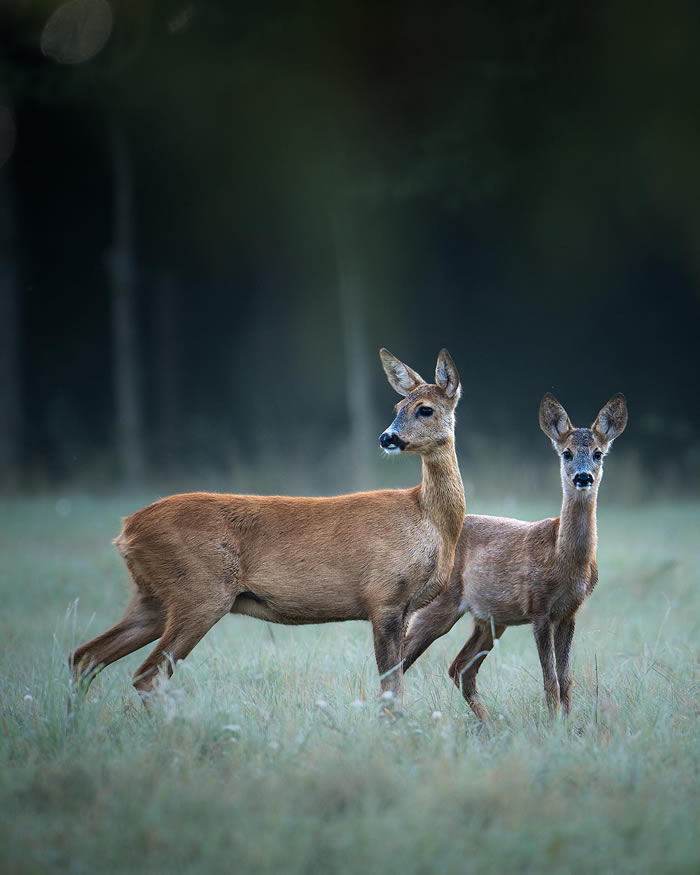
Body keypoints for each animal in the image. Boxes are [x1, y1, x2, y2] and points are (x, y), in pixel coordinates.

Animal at [69, 348, 464, 704]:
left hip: (152, 597)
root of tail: (127, 530)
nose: (387, 438)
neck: (428, 521)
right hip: (199, 592)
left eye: (425, 408)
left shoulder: (404, 607)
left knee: (85, 656)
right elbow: (391, 690)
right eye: (397, 409)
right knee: (146, 675)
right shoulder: (383, 596)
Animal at [400, 394, 628, 724]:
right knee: (402, 658)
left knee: (460, 669)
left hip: (490, 619)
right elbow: (550, 679)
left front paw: (569, 724)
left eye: (598, 453)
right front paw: (554, 725)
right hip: (439, 605)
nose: (583, 477)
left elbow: (566, 678)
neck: (565, 560)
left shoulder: (569, 612)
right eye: (567, 453)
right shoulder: (538, 608)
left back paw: (490, 723)